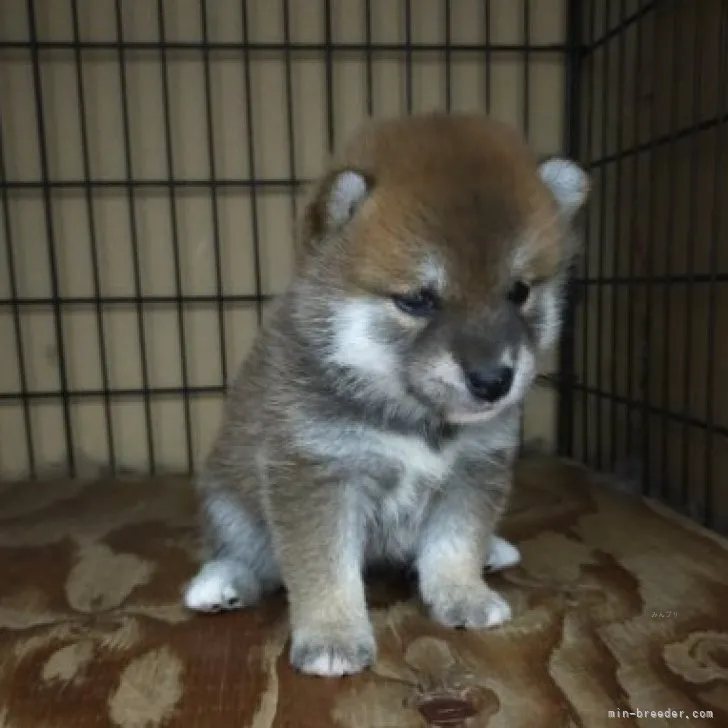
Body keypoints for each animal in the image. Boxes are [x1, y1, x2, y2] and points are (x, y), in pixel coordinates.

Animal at [185, 114, 588, 676]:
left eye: (519, 291)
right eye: (417, 299)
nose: (493, 381)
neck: (412, 416)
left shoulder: (473, 470)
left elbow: (455, 545)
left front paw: (463, 594)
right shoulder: (317, 474)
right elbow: (325, 571)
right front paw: (332, 636)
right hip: (230, 503)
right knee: (252, 561)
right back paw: (220, 584)